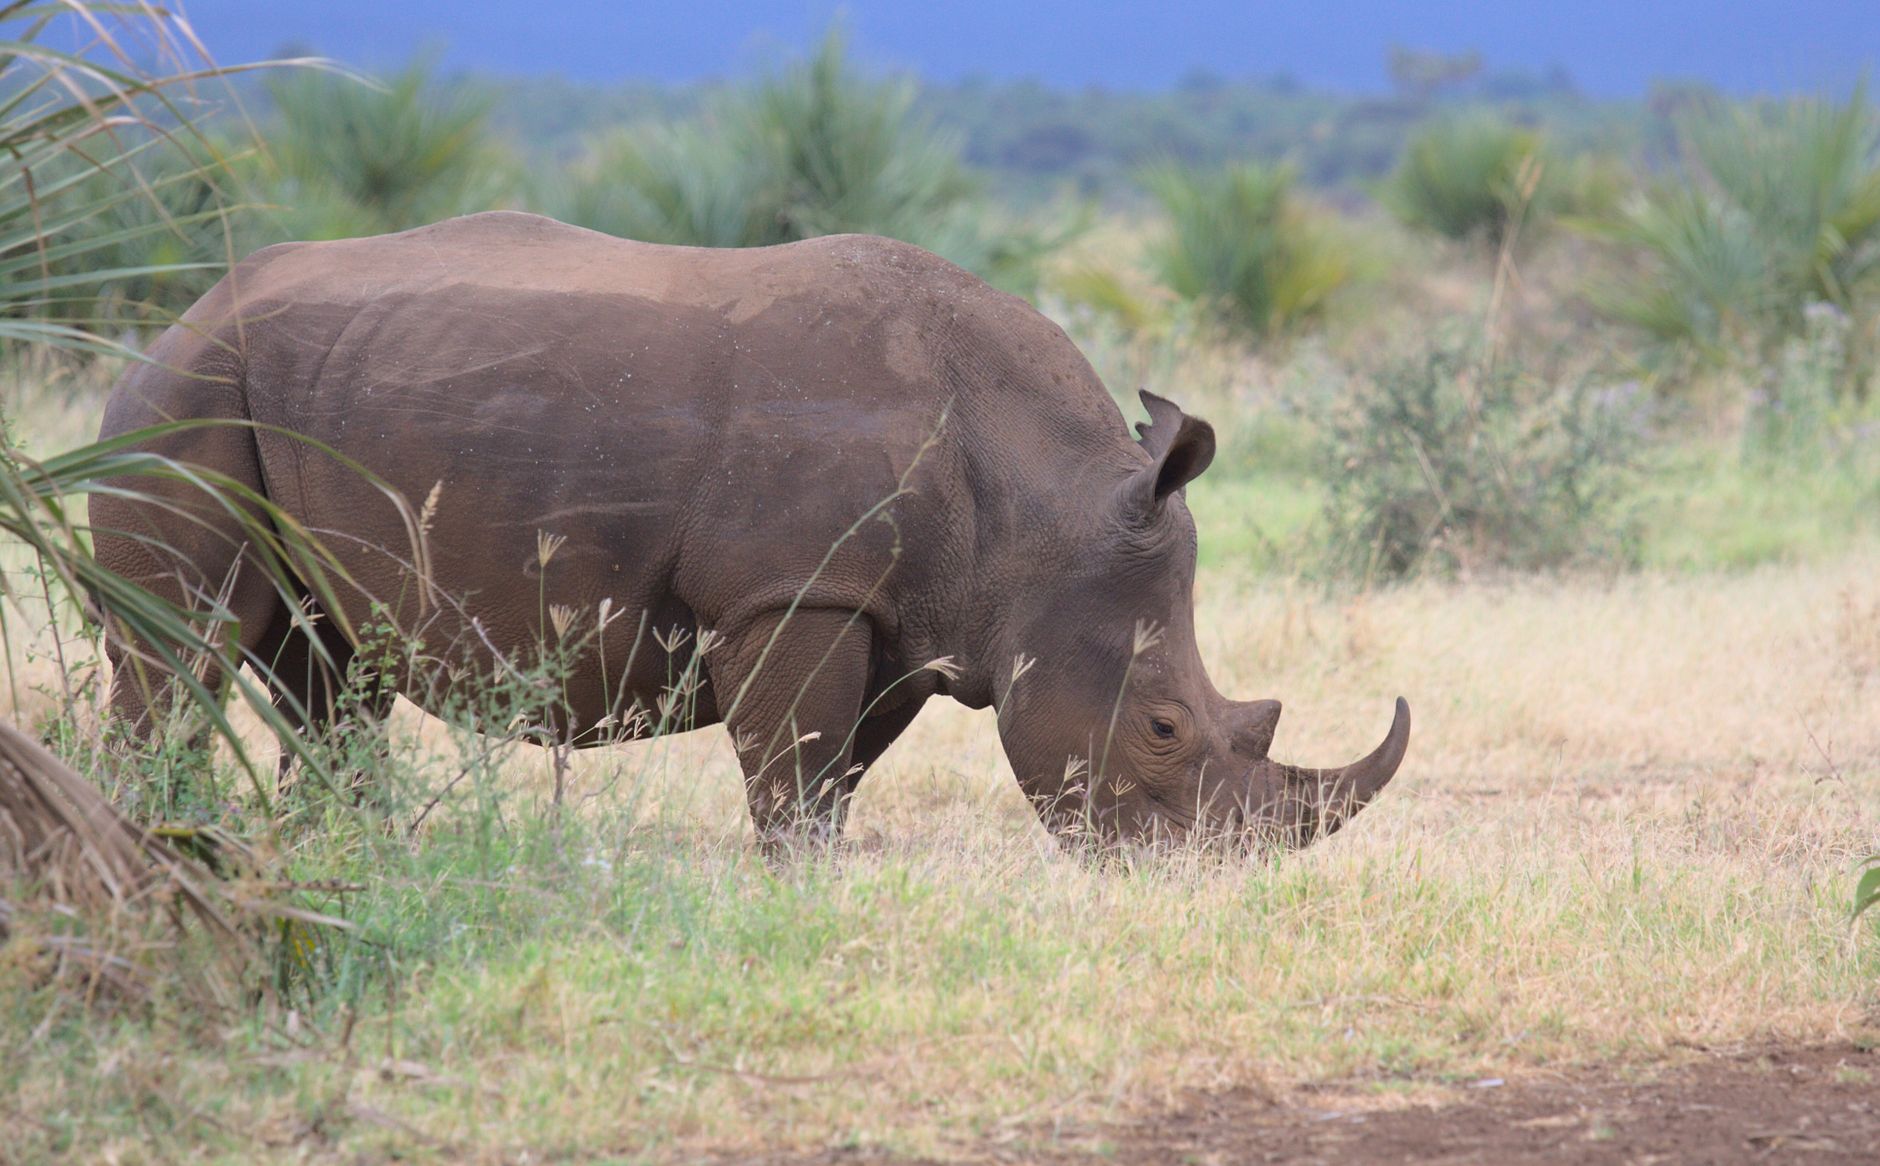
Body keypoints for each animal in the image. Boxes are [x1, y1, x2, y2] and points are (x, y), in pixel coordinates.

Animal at [94, 211, 1408, 850]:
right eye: (1163, 725)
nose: (1201, 875)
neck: (1040, 499)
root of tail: (182, 311)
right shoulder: (792, 587)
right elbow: (789, 766)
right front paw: (793, 887)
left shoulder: (905, 614)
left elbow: (831, 773)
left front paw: (814, 871)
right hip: (186, 399)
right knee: (184, 648)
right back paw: (161, 838)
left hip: (302, 388)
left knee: (329, 669)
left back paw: (341, 857)